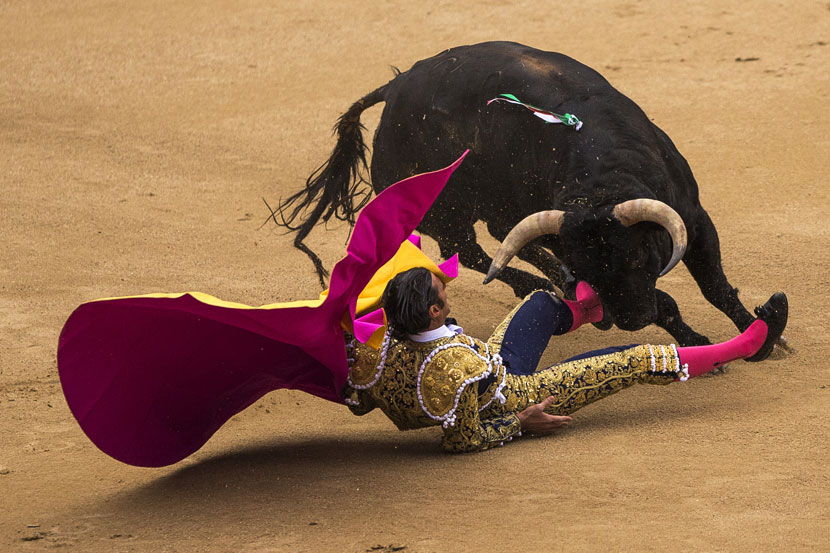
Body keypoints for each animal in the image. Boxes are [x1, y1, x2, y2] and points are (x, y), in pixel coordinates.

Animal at [280, 42, 768, 344]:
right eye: (587, 265)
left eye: (634, 257)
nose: (630, 320)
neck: (603, 177)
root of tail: (396, 87)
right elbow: (671, 301)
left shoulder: (694, 218)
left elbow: (715, 286)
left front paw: (763, 334)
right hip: (442, 209)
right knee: (470, 250)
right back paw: (541, 285)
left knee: (493, 239)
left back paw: (551, 286)